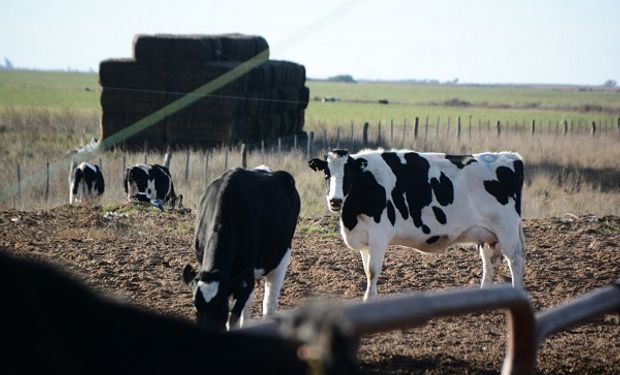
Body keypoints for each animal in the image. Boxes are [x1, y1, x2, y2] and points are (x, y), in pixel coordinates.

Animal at [183, 165, 302, 332]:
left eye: (223, 306)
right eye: (195, 305)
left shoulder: (246, 277)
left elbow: (233, 319)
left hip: (282, 256)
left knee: (270, 300)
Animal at [308, 148, 524, 302]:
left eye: (349, 175)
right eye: (326, 174)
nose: (335, 201)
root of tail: (510, 156)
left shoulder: (379, 234)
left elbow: (372, 270)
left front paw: (368, 300)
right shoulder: (364, 238)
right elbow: (366, 268)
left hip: (507, 230)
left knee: (515, 261)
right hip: (486, 235)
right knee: (489, 263)